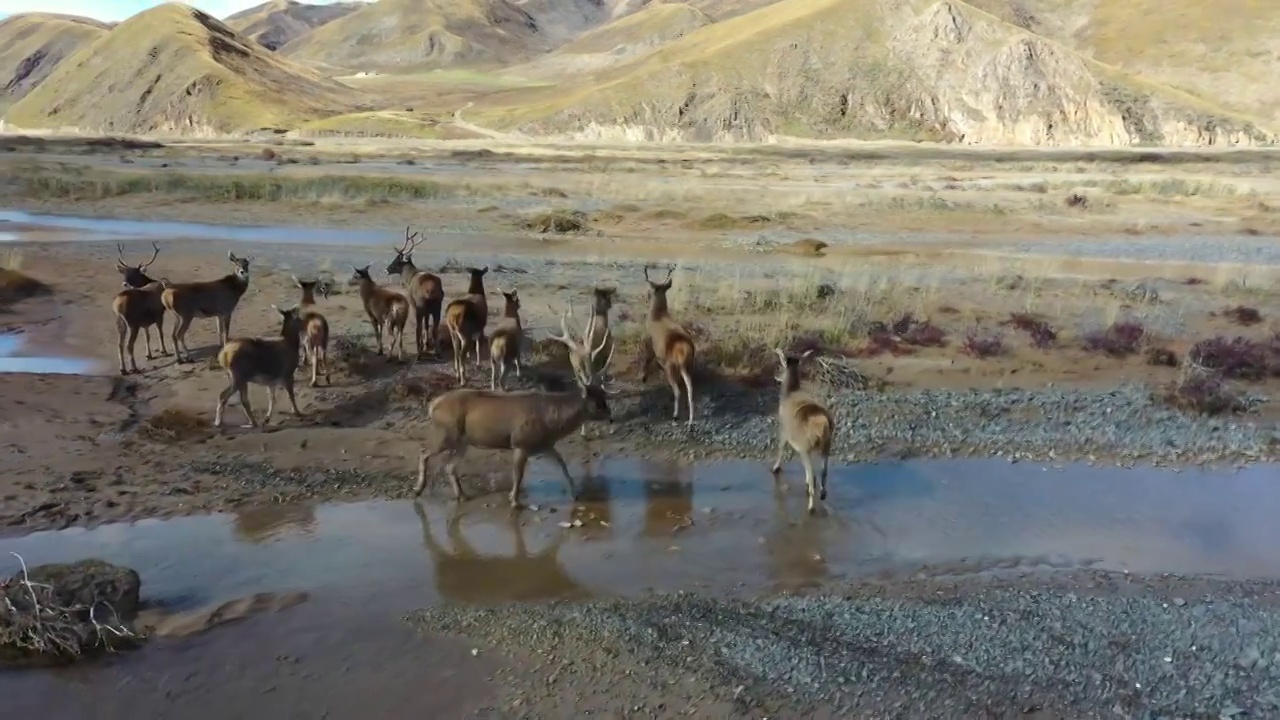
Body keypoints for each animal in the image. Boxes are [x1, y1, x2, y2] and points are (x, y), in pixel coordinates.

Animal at [384, 226, 445, 356]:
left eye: (396, 260)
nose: (386, 270)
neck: (410, 277)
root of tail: (431, 291)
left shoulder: (413, 304)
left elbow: (422, 325)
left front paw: (424, 344)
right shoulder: (428, 311)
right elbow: (427, 325)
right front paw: (427, 344)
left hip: (420, 306)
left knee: (418, 327)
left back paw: (419, 352)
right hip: (437, 307)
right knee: (434, 328)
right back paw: (437, 352)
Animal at [409, 299, 609, 507]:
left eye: (604, 396)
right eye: (598, 403)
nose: (610, 417)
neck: (551, 420)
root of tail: (433, 406)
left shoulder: (546, 445)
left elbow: (562, 465)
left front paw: (575, 493)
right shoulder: (520, 442)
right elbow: (518, 475)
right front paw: (514, 501)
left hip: (463, 441)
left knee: (449, 467)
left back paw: (461, 495)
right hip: (446, 433)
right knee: (424, 453)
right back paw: (418, 489)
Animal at [645, 265, 696, 425]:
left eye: (651, 291)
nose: (647, 296)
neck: (658, 317)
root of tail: (683, 347)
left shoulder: (652, 346)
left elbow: (647, 359)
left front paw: (643, 378)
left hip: (672, 367)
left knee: (678, 390)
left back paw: (675, 416)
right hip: (686, 367)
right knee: (690, 389)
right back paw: (690, 421)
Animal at [768, 345, 839, 509]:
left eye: (781, 365)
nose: (776, 376)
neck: (790, 393)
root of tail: (823, 426)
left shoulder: (784, 429)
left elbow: (781, 447)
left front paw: (775, 468)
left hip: (806, 446)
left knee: (813, 476)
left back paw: (811, 507)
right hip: (827, 445)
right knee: (823, 472)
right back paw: (822, 494)